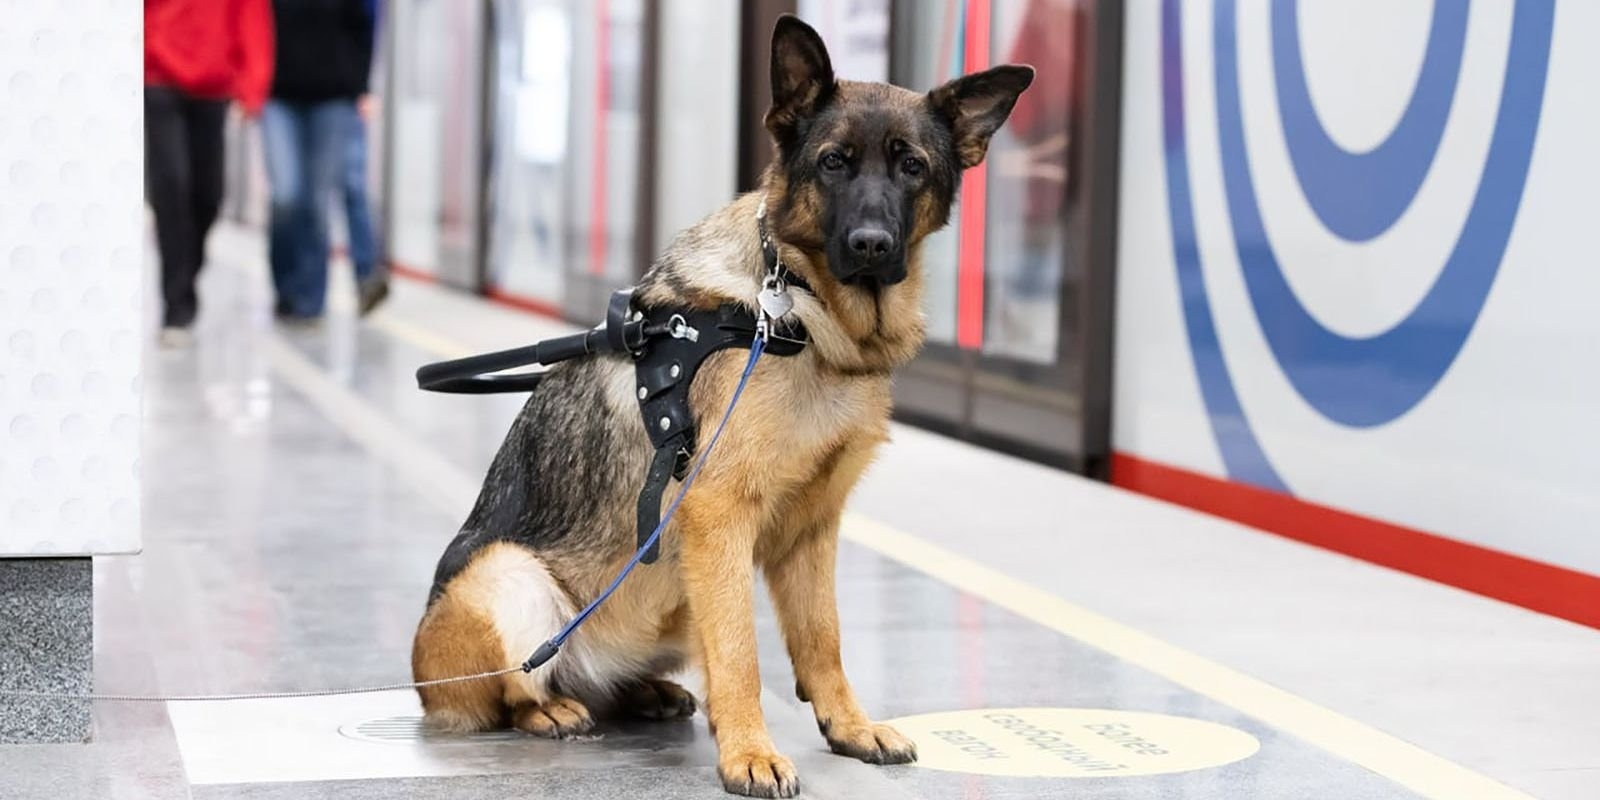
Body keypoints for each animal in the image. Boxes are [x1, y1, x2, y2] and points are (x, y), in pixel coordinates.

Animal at [412, 15, 1030, 796]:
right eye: (833, 163)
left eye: (911, 167)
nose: (870, 245)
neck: (795, 307)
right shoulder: (719, 515)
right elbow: (741, 652)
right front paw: (750, 752)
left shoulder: (812, 528)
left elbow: (822, 639)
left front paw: (849, 726)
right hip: (510, 576)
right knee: (519, 685)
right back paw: (548, 708)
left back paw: (642, 691)